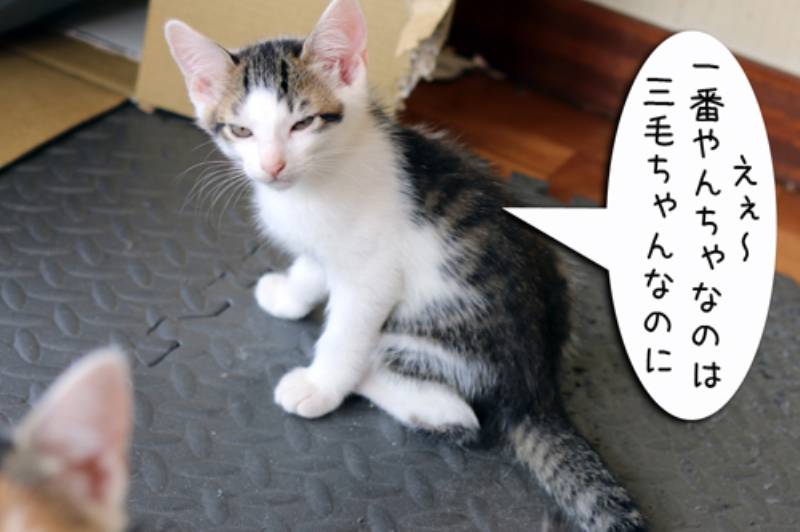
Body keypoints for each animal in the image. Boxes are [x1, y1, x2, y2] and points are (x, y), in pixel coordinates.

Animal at [165, 1, 645, 530]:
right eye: (241, 131)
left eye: (303, 124)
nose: (272, 167)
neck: (327, 171)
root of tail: (539, 390)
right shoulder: (327, 247)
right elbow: (312, 267)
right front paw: (287, 296)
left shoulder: (371, 274)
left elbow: (344, 335)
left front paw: (320, 387)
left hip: (433, 339)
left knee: (464, 419)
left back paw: (369, 383)